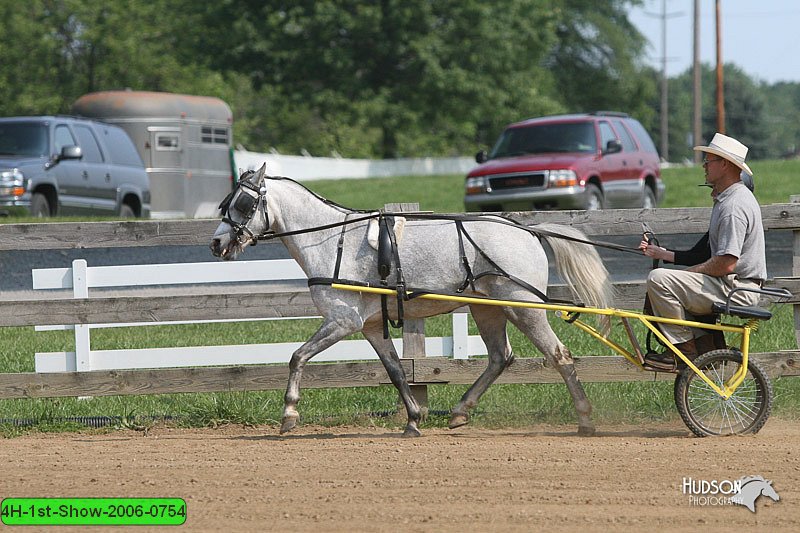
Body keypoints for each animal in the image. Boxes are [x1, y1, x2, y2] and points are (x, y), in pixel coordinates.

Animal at [211, 164, 612, 434]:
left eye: (243, 203)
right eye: (225, 203)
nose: (216, 243)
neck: (332, 242)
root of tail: (525, 228)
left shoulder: (343, 320)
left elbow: (297, 357)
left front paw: (289, 415)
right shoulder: (371, 326)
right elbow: (396, 371)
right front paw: (414, 420)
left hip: (522, 307)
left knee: (559, 355)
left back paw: (585, 417)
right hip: (487, 310)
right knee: (501, 357)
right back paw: (460, 412)